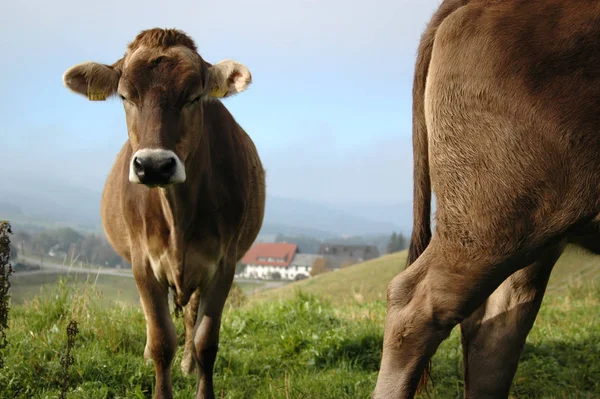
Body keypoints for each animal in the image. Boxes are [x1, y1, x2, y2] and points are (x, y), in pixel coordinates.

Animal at [62, 28, 264, 399]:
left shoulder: (224, 264)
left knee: (190, 316)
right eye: (125, 96)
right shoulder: (143, 263)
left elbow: (205, 341)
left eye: (193, 97)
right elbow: (160, 340)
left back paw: (187, 364)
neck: (178, 215)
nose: (154, 165)